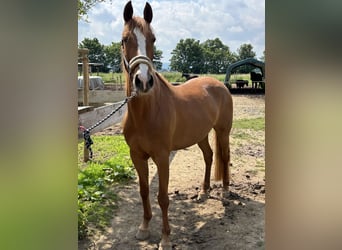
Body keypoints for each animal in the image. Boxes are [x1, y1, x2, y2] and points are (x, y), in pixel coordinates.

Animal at [120, 1, 232, 248]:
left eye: (153, 39)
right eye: (124, 40)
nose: (143, 81)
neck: (146, 113)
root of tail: (218, 84)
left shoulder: (162, 157)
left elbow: (163, 197)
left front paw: (165, 238)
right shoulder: (137, 156)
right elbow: (144, 191)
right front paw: (144, 228)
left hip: (223, 132)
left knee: (225, 157)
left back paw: (226, 191)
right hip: (200, 135)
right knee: (209, 156)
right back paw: (204, 191)